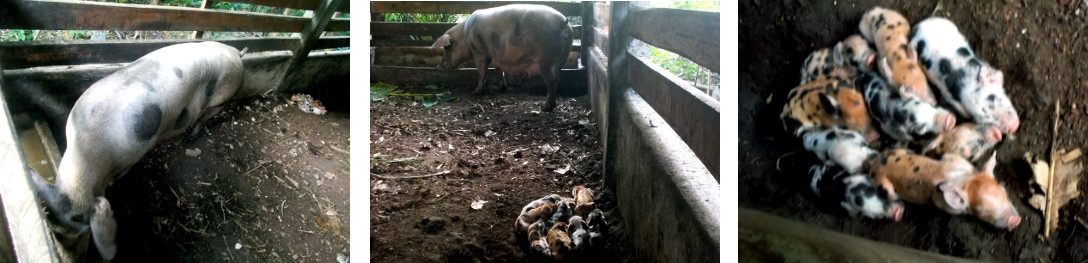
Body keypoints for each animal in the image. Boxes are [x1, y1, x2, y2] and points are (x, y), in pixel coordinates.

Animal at [28, 41, 245, 260]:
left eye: (86, 231)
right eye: (55, 231)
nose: (69, 259)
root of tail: (235, 52)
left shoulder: (133, 155)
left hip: (223, 95)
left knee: (205, 117)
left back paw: (189, 140)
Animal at [428, 4, 574, 110]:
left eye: (447, 47)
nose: (438, 66)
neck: (465, 36)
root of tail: (563, 22)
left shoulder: (479, 53)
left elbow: (482, 72)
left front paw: (475, 92)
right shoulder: (497, 56)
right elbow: (498, 71)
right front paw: (501, 89)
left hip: (546, 60)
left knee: (551, 81)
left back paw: (545, 108)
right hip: (562, 58)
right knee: (557, 78)